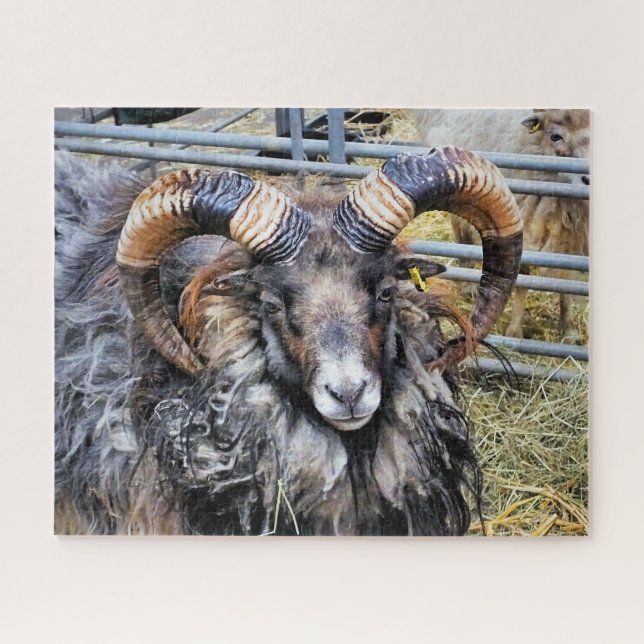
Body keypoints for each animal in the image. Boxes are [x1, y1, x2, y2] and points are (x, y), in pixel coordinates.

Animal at [414, 109, 589, 342]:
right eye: (555, 136)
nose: (587, 179)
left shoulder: (572, 235)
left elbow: (567, 282)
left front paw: (568, 329)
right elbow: (524, 280)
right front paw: (514, 332)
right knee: (461, 232)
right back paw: (468, 283)